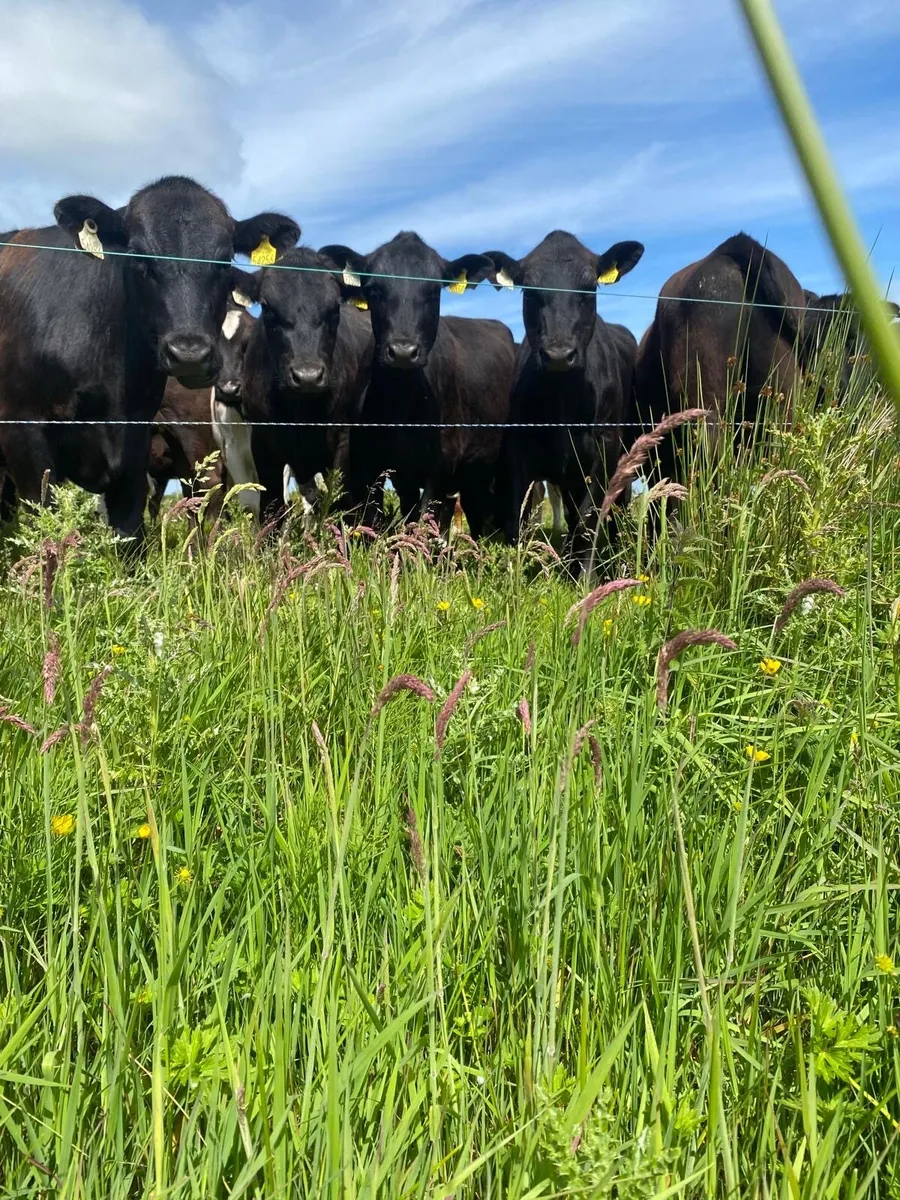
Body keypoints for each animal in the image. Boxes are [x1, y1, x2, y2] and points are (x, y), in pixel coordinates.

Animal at [0, 176, 299, 547]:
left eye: (224, 260)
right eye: (138, 256)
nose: (189, 354)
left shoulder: (136, 439)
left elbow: (130, 532)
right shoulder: (22, 429)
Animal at [233, 247, 374, 525]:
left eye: (334, 308)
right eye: (267, 308)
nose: (307, 375)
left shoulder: (342, 441)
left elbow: (340, 503)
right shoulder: (262, 444)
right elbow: (272, 510)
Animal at [318, 232, 516, 537]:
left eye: (434, 290)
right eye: (374, 289)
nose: (402, 351)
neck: (401, 407)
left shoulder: (442, 464)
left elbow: (425, 520)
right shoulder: (375, 464)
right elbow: (383, 521)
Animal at [481, 230, 644, 566]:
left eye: (589, 288)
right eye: (530, 292)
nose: (558, 354)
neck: (562, 400)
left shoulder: (605, 448)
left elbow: (588, 519)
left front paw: (585, 574)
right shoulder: (519, 450)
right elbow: (518, 517)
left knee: (615, 508)